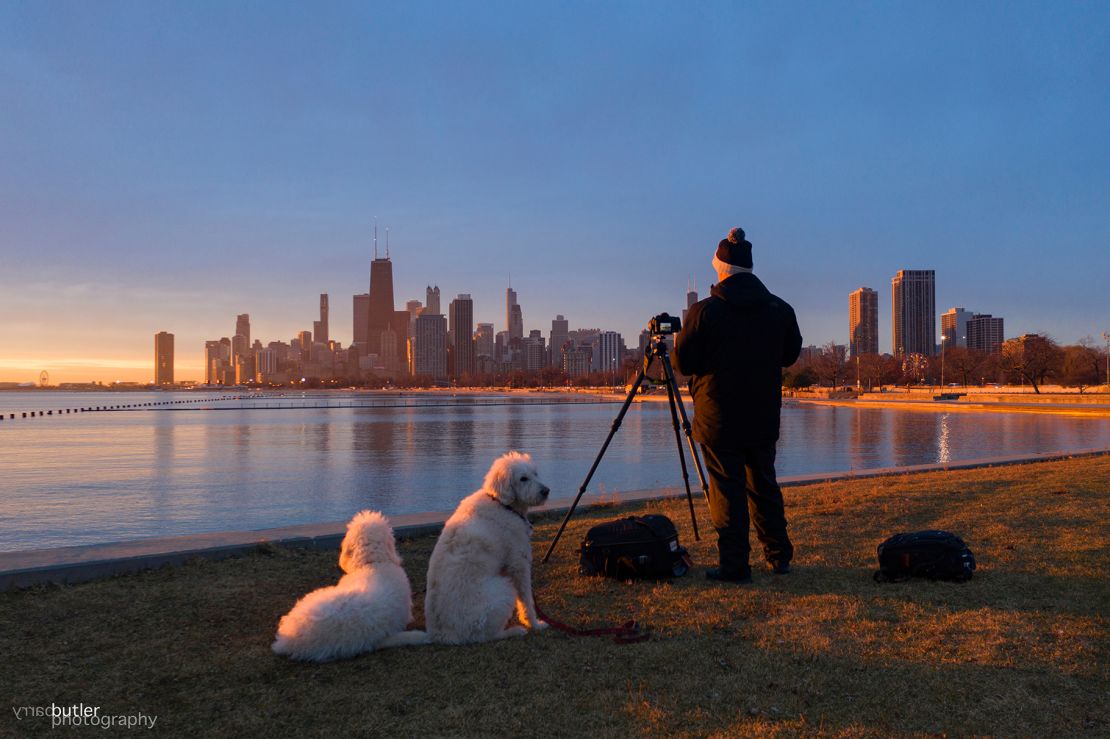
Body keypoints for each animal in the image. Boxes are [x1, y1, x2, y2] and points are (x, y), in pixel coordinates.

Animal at [421, 446, 548, 643]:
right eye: (523, 478)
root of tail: (441, 635)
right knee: (488, 635)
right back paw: (514, 631)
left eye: (535, 473)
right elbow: (527, 600)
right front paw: (535, 624)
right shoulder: (518, 564)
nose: (546, 491)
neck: (502, 504)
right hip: (504, 589)